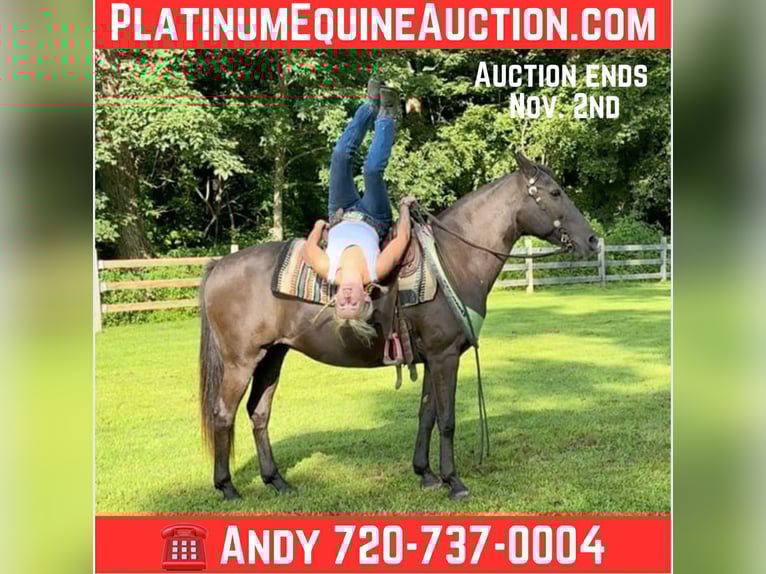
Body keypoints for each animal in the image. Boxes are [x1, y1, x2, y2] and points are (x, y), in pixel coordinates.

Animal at [199, 151, 598, 501]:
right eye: (555, 192)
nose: (593, 240)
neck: (452, 259)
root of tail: (219, 265)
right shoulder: (445, 356)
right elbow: (447, 419)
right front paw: (454, 482)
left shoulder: (433, 358)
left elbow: (427, 415)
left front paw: (426, 474)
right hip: (241, 361)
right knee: (223, 414)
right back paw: (228, 488)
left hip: (272, 356)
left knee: (258, 413)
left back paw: (277, 481)